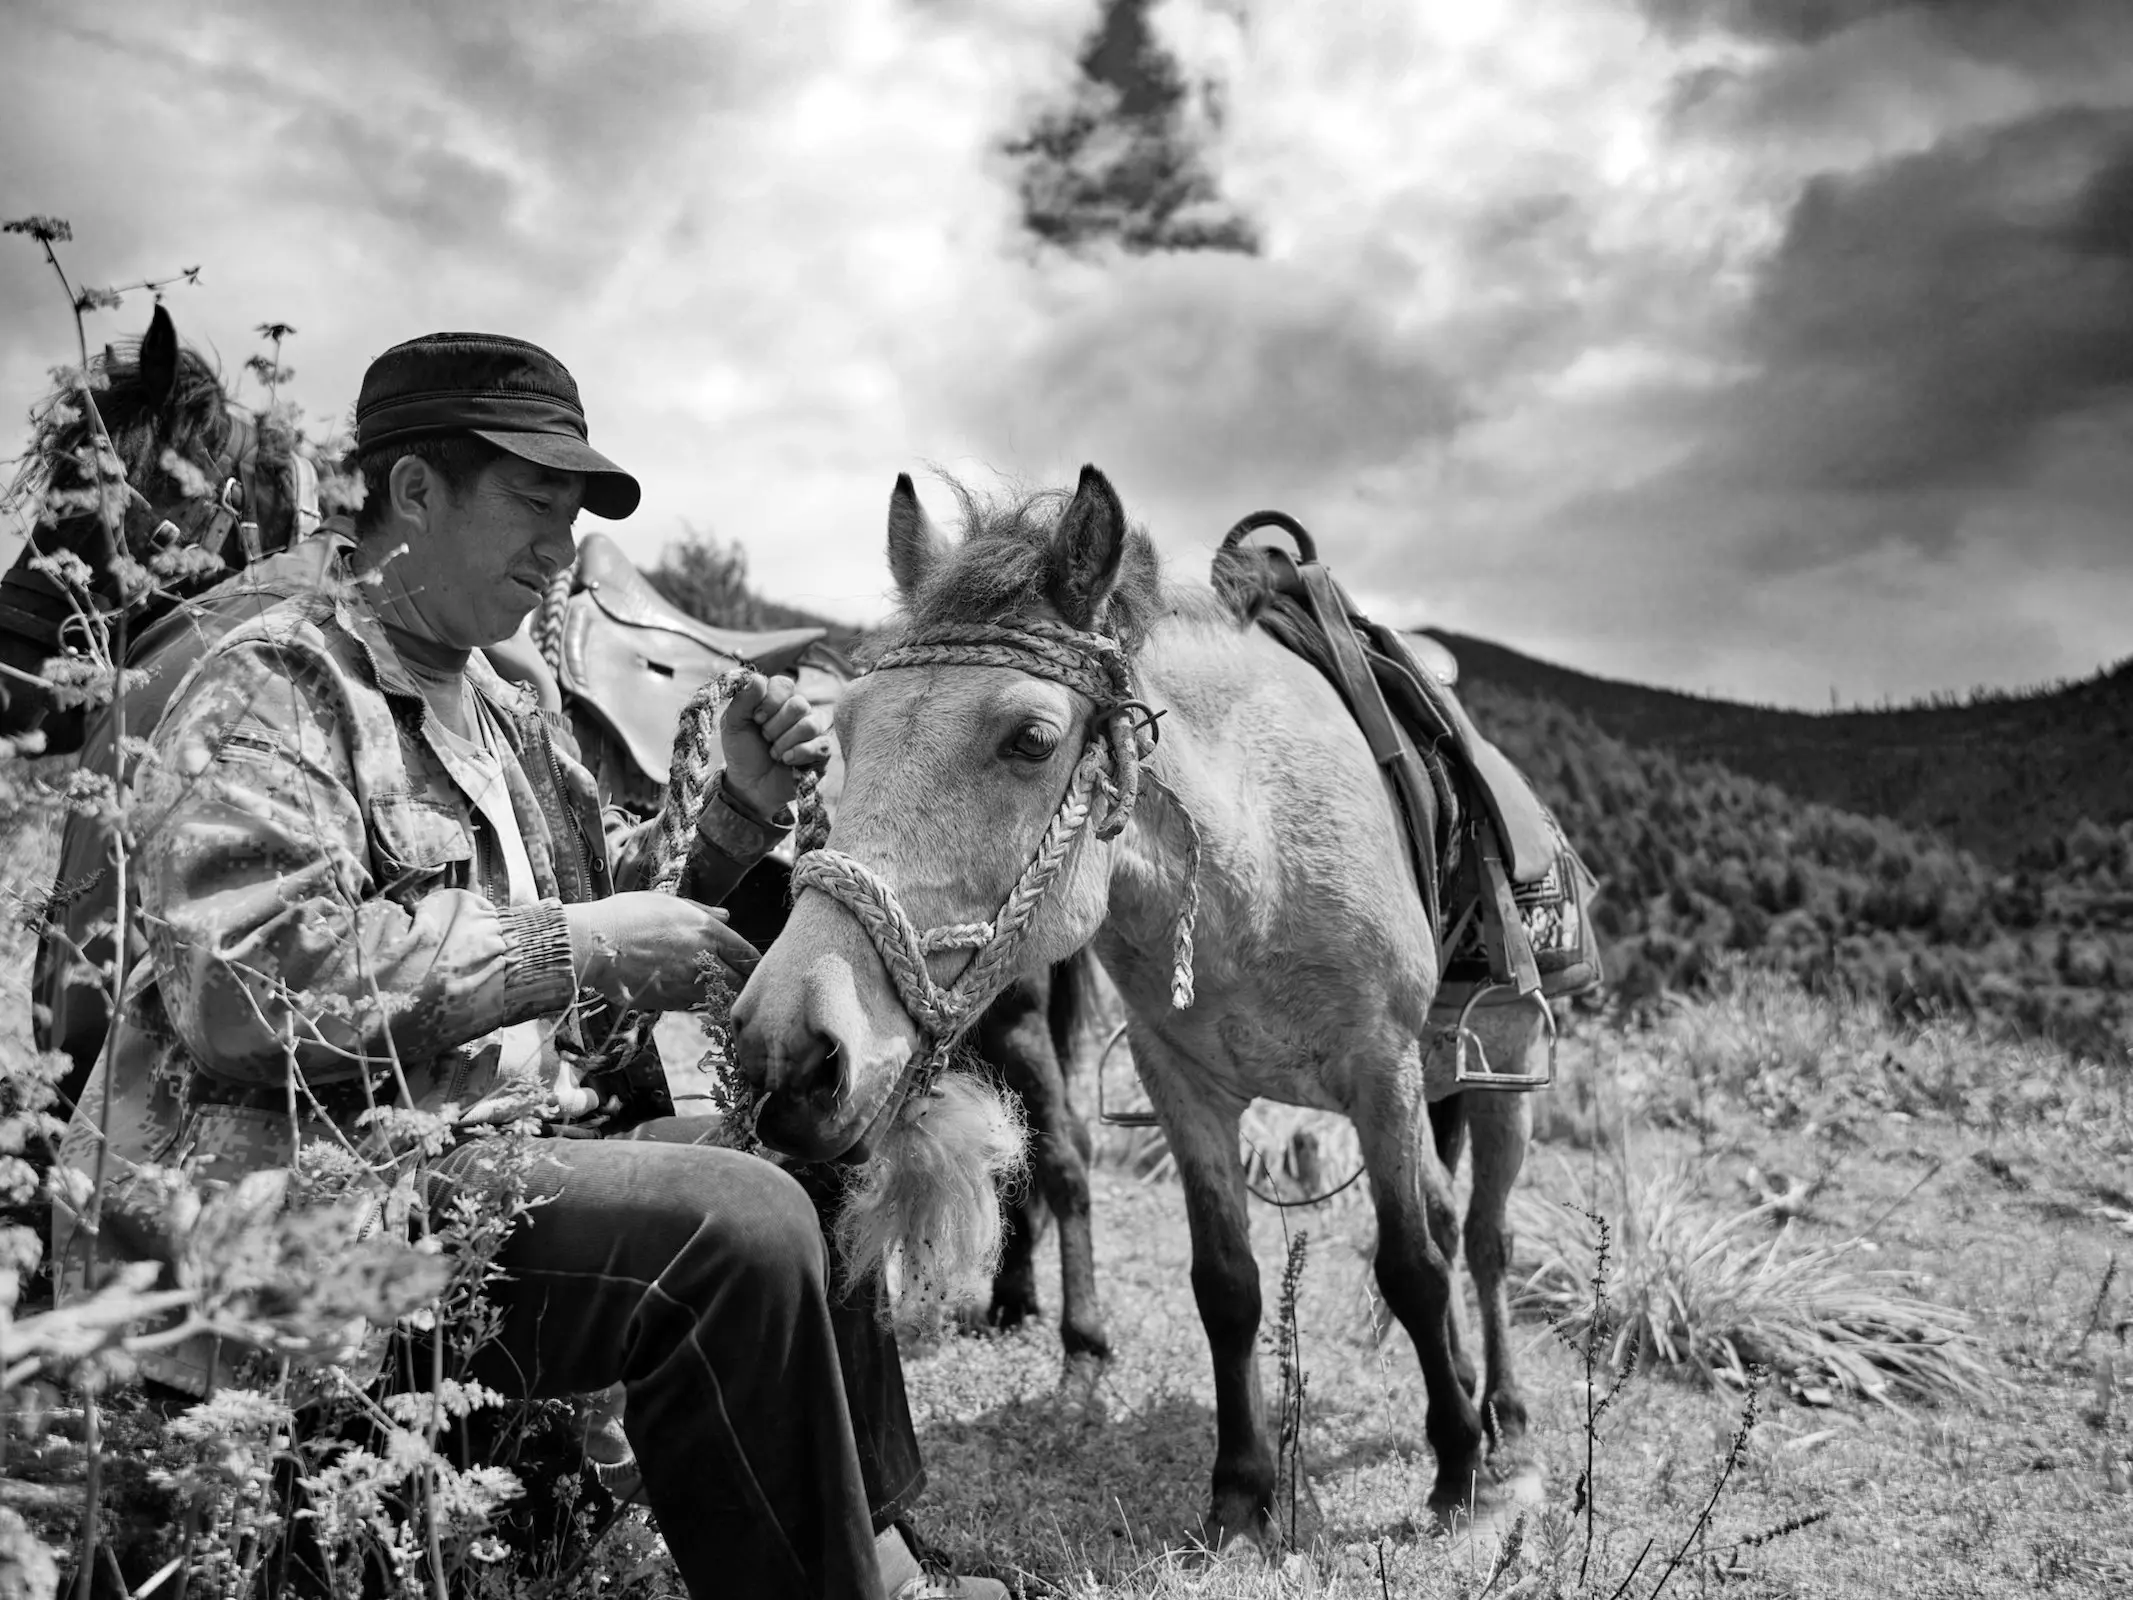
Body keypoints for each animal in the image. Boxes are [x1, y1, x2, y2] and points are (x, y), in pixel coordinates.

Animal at [733, 469, 1535, 1544]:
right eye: (846, 731)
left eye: (1031, 739)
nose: (788, 1049)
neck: (1254, 853)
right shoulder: (1182, 1082)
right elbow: (1226, 1284)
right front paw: (1239, 1492)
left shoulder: (1383, 1072)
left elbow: (1410, 1268)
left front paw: (1452, 1470)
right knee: (1454, 1225)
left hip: (1496, 1072)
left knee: (1482, 1243)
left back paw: (1504, 1418)